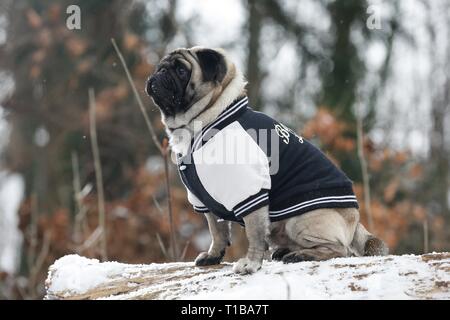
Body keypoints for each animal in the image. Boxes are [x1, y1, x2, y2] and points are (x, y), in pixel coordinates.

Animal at [146, 47, 388, 276]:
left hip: (300, 221)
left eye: (181, 71)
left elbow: (254, 235)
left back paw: (301, 254)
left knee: (340, 249)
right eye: (160, 67)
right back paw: (286, 251)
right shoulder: (205, 202)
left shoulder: (250, 193)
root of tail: (355, 219)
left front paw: (250, 264)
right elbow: (218, 232)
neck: (206, 121)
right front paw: (214, 256)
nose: (160, 72)